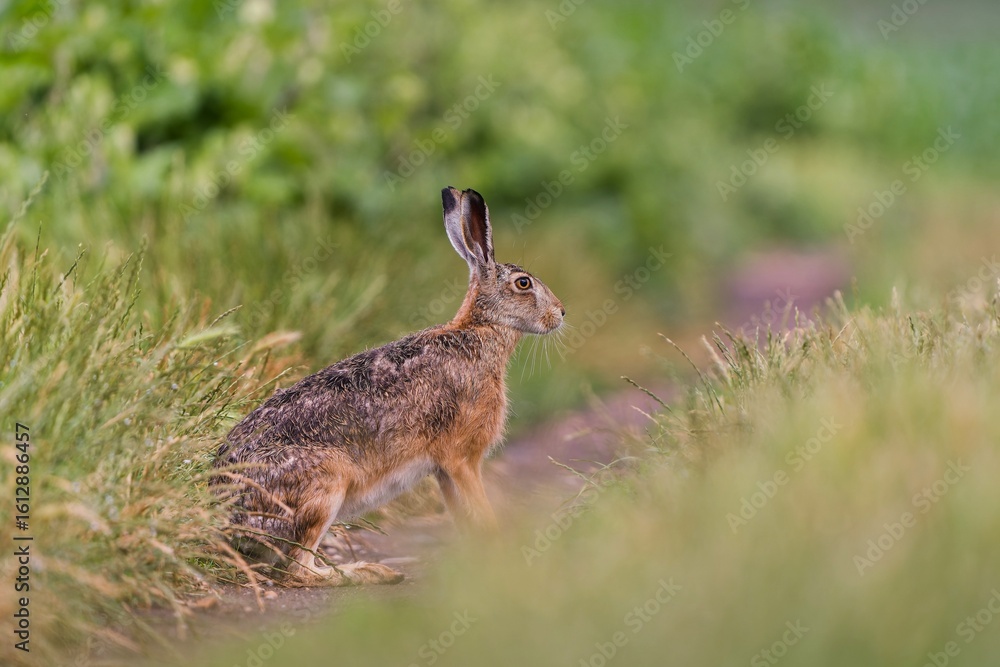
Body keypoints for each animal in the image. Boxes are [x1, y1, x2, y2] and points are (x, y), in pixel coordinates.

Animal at [212, 187, 565, 586]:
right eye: (524, 283)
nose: (560, 313)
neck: (480, 330)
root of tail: (228, 519)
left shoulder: (443, 470)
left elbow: (463, 516)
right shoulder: (461, 458)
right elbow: (480, 508)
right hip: (325, 486)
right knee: (297, 571)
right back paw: (371, 573)